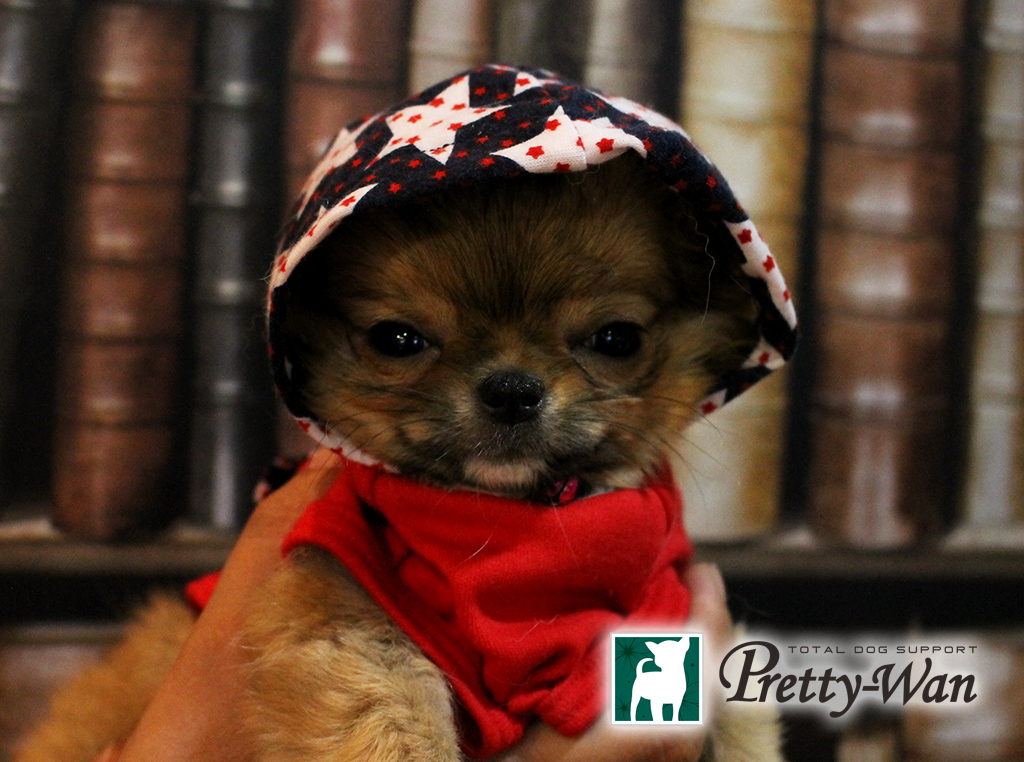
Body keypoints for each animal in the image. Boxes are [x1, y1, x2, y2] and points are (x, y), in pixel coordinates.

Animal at [17, 66, 797, 762]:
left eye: (617, 340)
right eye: (398, 340)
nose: (512, 388)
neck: (518, 532)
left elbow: (739, 723)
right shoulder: (347, 617)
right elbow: (389, 719)